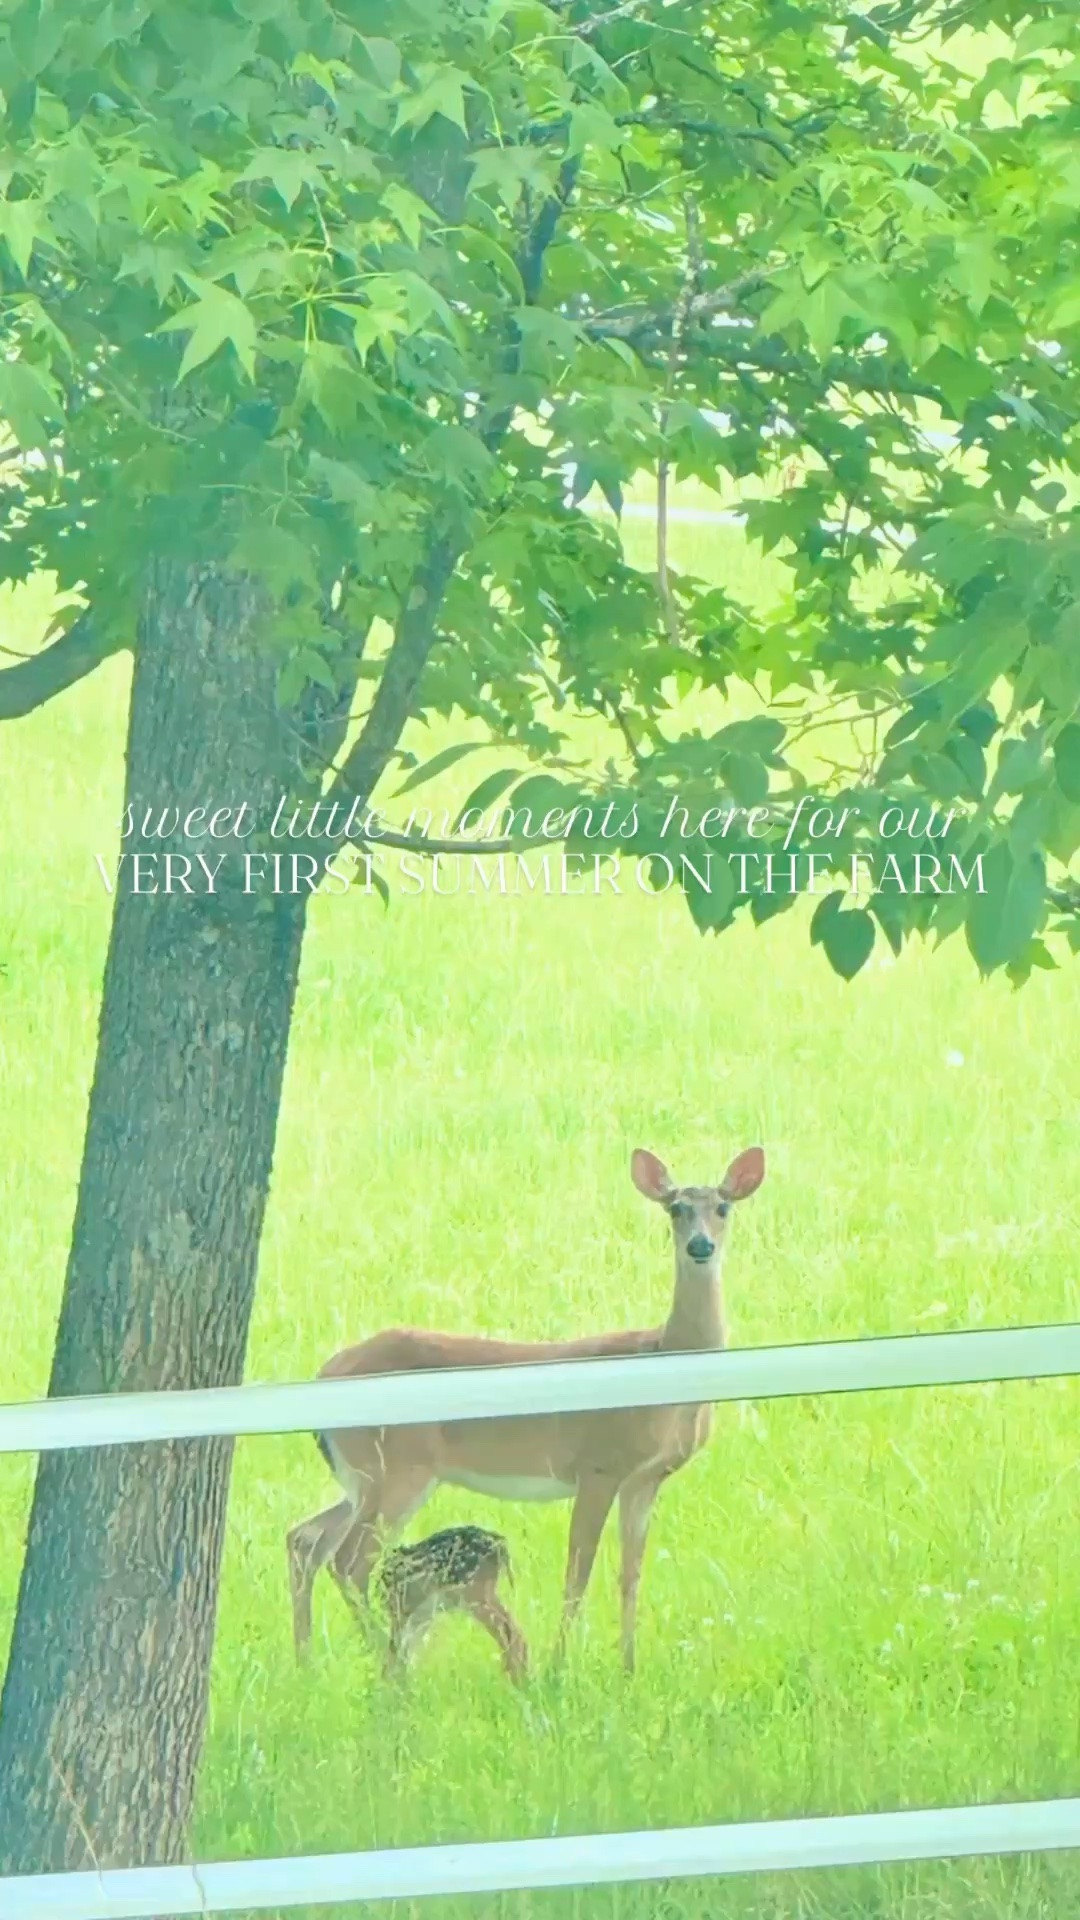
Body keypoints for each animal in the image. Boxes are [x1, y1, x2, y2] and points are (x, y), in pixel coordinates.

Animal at [373, 1525, 528, 1682]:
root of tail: (500, 1545)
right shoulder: (419, 1615)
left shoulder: (403, 1612)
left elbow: (397, 1651)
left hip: (471, 1593)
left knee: (510, 1631)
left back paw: (516, 1679)